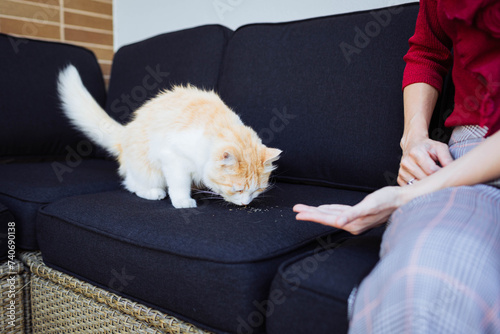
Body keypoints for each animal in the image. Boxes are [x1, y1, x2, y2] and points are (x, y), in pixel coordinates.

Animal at [58, 65, 282, 209]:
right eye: (237, 190)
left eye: (257, 190)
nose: (246, 203)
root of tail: (126, 131)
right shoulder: (173, 159)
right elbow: (179, 184)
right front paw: (183, 202)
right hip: (150, 171)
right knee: (131, 184)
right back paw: (154, 193)